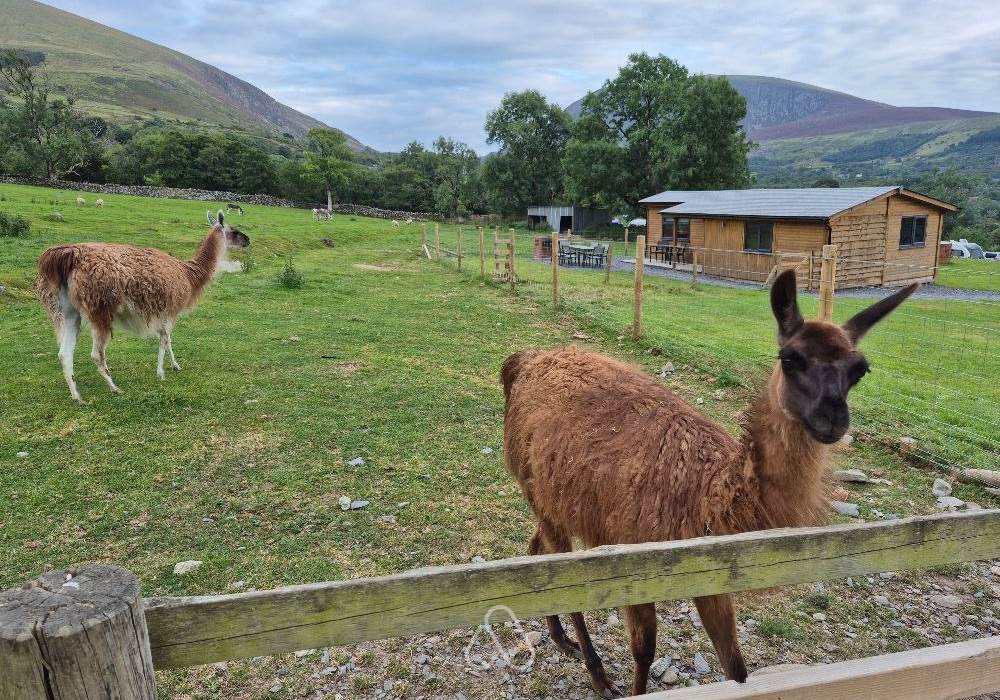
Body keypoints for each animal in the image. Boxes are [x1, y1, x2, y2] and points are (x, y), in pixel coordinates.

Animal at [37, 211, 241, 403]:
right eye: (234, 231)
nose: (246, 240)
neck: (188, 274)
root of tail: (69, 254)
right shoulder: (169, 309)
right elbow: (165, 340)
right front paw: (161, 373)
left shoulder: (163, 311)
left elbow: (167, 339)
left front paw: (174, 365)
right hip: (99, 307)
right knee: (96, 354)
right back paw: (114, 388)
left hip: (68, 310)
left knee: (64, 353)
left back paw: (77, 396)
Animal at [501, 270, 916, 697]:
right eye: (790, 358)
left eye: (860, 369)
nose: (832, 418)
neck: (708, 493)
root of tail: (527, 359)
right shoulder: (635, 558)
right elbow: (644, 651)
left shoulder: (711, 580)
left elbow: (736, 667)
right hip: (539, 490)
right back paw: (597, 673)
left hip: (553, 498)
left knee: (537, 548)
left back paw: (561, 639)